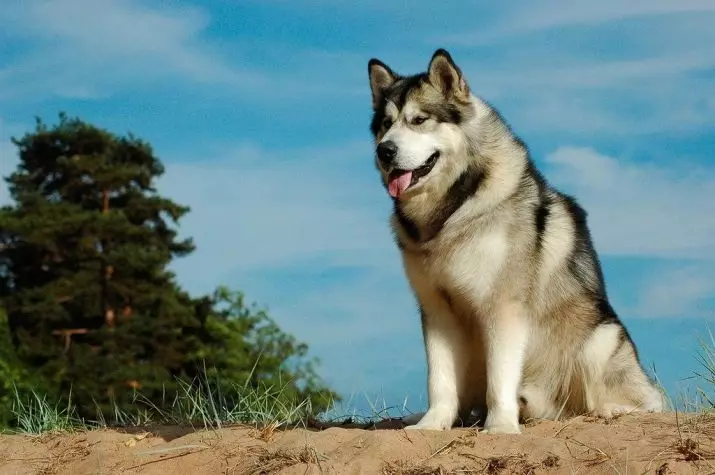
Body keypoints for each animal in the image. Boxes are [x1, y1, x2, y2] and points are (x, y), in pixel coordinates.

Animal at [370, 50, 664, 434]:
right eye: (385, 124)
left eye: (419, 120)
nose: (384, 151)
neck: (454, 207)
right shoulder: (436, 309)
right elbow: (440, 379)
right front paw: (432, 424)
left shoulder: (503, 306)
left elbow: (500, 377)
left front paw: (501, 427)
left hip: (600, 339)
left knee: (648, 401)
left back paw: (612, 410)